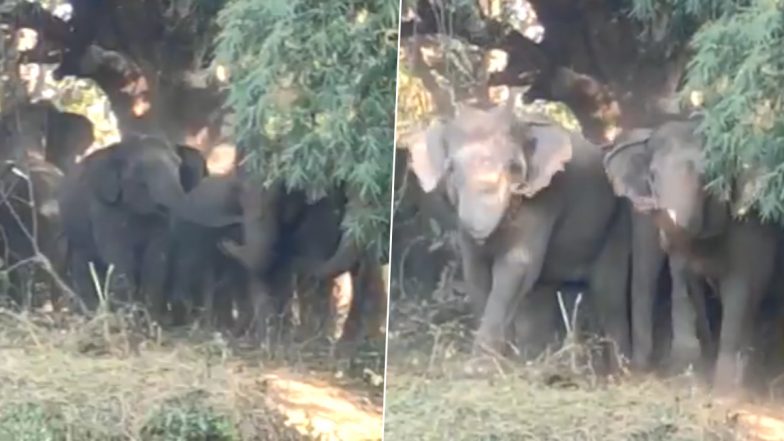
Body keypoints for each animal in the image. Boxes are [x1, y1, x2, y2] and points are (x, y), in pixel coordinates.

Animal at [58, 134, 207, 315]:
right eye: (138, 170)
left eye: (178, 164)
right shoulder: (105, 207)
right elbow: (118, 258)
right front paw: (127, 316)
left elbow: (156, 261)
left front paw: (151, 317)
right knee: (83, 263)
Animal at [404, 104, 631, 363]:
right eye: (450, 168)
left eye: (514, 167)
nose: (481, 232)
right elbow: (475, 270)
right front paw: (498, 360)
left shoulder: (544, 197)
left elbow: (516, 265)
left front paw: (482, 364)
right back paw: (536, 359)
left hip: (616, 222)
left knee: (609, 294)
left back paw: (620, 368)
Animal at [603, 119, 784, 391]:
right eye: (652, 176)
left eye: (706, 178)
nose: (646, 204)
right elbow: (685, 282)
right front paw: (692, 372)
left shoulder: (753, 224)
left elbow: (741, 290)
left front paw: (724, 390)